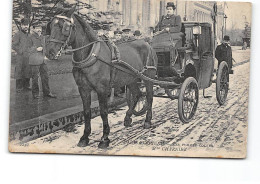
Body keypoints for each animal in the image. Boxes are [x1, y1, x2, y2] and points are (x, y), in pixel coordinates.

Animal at [45, 7, 156, 149]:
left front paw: (104, 138)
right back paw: (127, 118)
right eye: (50, 26)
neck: (91, 55)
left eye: (64, 27)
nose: (49, 52)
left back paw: (147, 120)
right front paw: (85, 137)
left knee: (149, 96)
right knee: (137, 94)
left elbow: (103, 112)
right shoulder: (83, 89)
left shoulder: (102, 89)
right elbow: (86, 112)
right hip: (131, 79)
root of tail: (146, 43)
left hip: (148, 78)